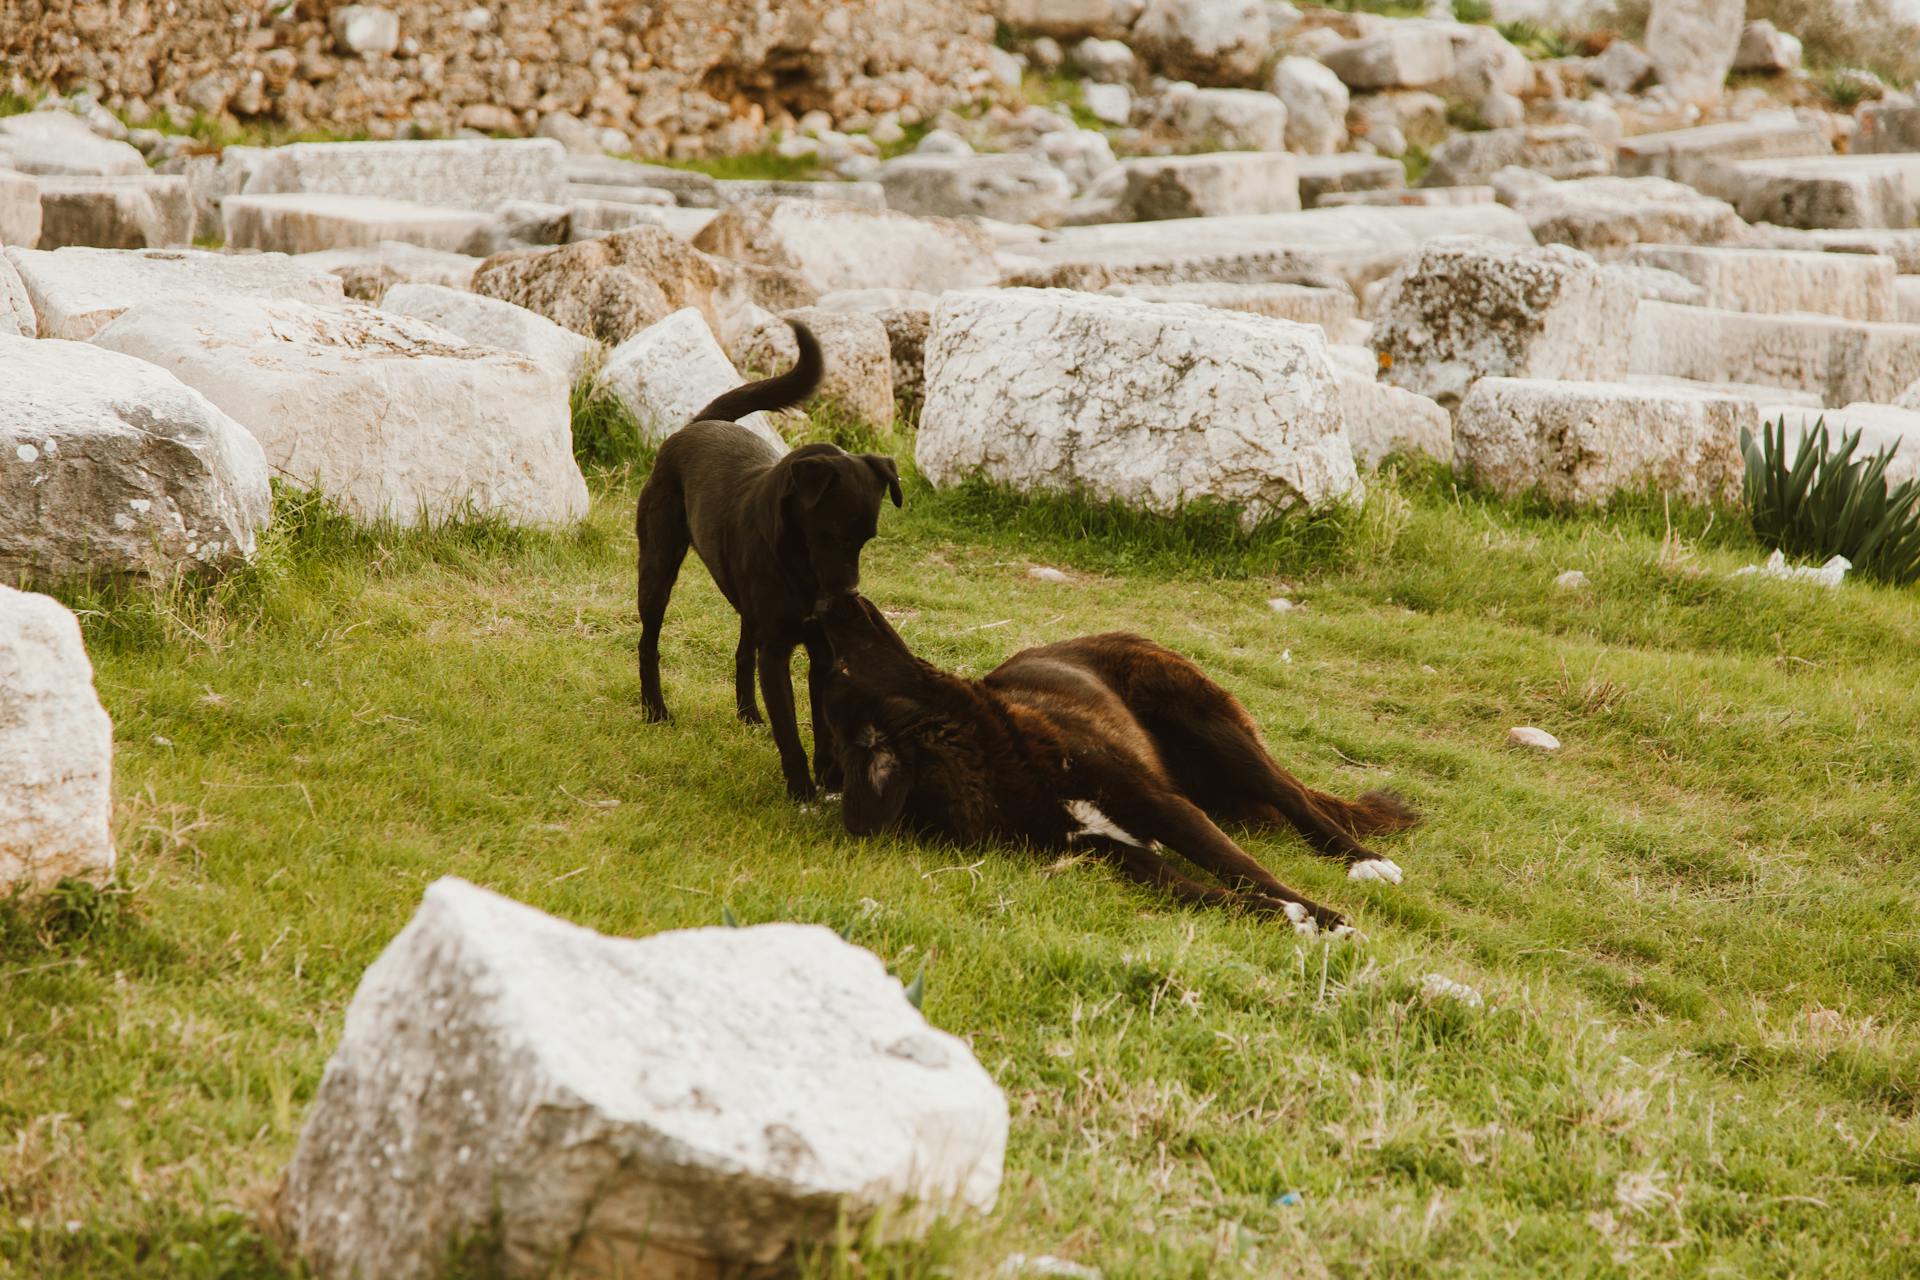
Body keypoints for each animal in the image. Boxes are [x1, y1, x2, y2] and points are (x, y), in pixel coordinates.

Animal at [629, 320, 898, 794]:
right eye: (828, 536)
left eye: (867, 539)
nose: (849, 596)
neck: (801, 569)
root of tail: (701, 424)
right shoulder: (775, 652)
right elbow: (788, 729)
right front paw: (801, 790)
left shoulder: (821, 653)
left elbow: (822, 726)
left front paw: (830, 778)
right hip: (658, 567)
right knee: (649, 643)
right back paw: (655, 710)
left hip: (745, 608)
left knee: (741, 655)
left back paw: (749, 715)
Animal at [817, 594, 1420, 936]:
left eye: (843, 661)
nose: (834, 601)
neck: (996, 760)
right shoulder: (1116, 856)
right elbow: (1199, 892)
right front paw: (1284, 918)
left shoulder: (1163, 805)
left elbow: (1243, 868)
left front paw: (1326, 918)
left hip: (1208, 722)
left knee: (1295, 797)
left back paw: (1366, 861)